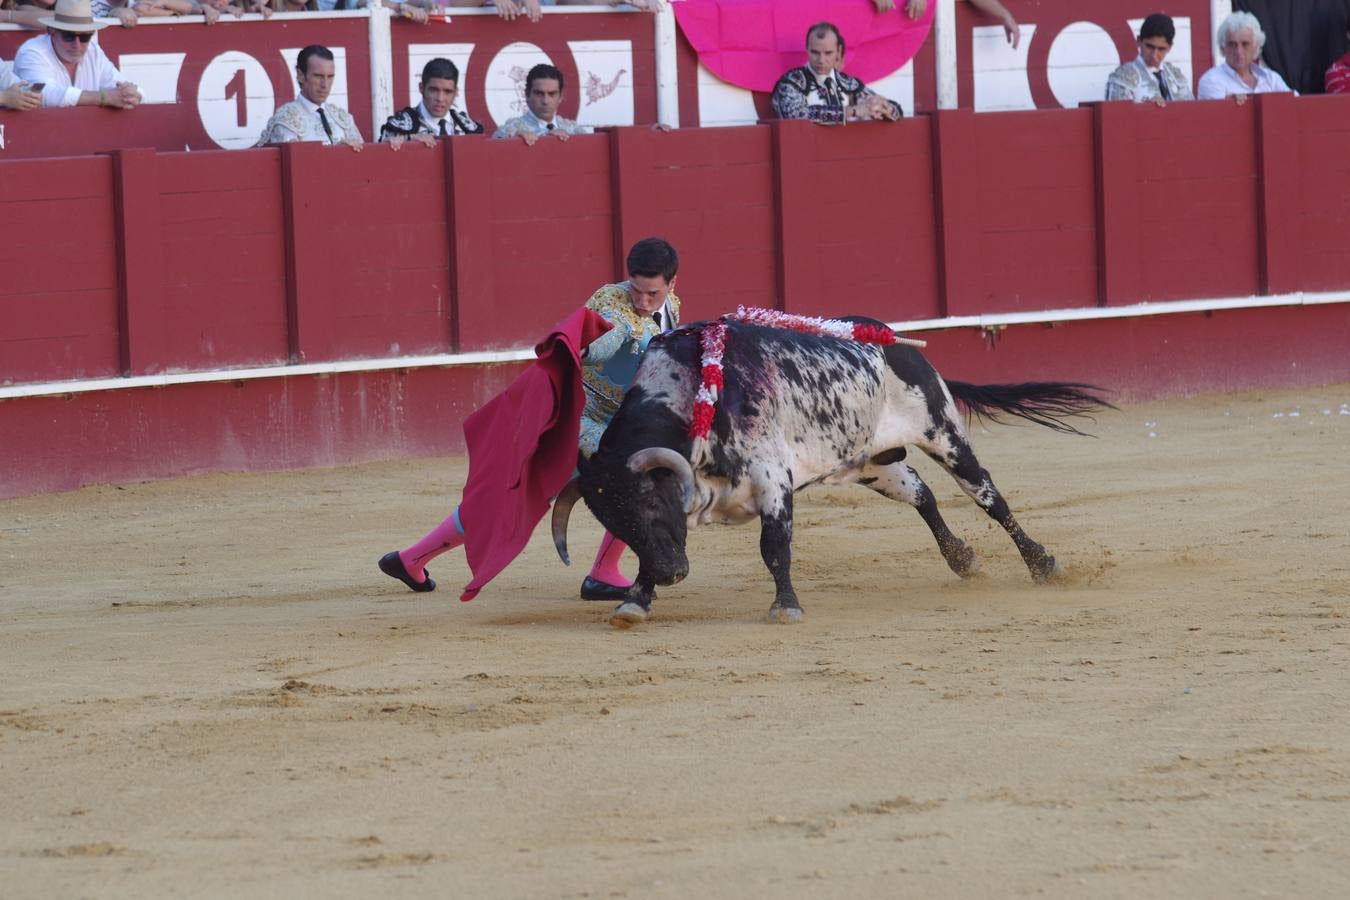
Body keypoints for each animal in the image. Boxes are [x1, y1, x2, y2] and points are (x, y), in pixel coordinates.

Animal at [548, 319, 1107, 631]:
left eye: (647, 501)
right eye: (612, 520)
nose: (672, 575)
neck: (693, 394)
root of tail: (895, 339)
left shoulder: (772, 479)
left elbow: (774, 547)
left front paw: (786, 608)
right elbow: (659, 548)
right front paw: (636, 602)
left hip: (944, 434)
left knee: (989, 497)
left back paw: (1044, 565)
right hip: (870, 464)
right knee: (921, 493)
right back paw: (964, 560)